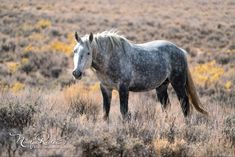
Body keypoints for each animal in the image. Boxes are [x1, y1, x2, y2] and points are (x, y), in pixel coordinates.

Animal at [72, 30, 207, 119]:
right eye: (74, 51)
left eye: (88, 53)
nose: (76, 73)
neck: (111, 58)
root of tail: (181, 51)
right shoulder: (106, 88)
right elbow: (105, 113)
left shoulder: (123, 88)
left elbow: (124, 112)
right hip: (162, 86)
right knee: (166, 106)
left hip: (177, 83)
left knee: (184, 103)